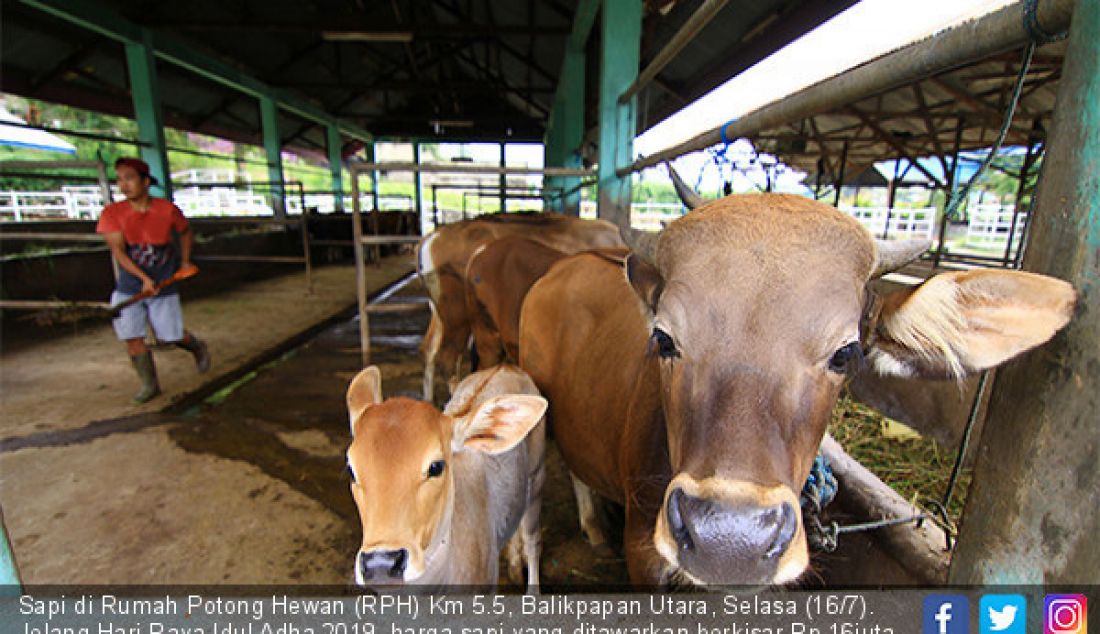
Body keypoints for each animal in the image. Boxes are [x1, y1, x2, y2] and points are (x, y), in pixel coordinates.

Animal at [345, 365, 547, 589]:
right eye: (351, 470)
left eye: (436, 467)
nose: (380, 564)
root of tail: (506, 367)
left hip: (537, 477)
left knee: (533, 541)